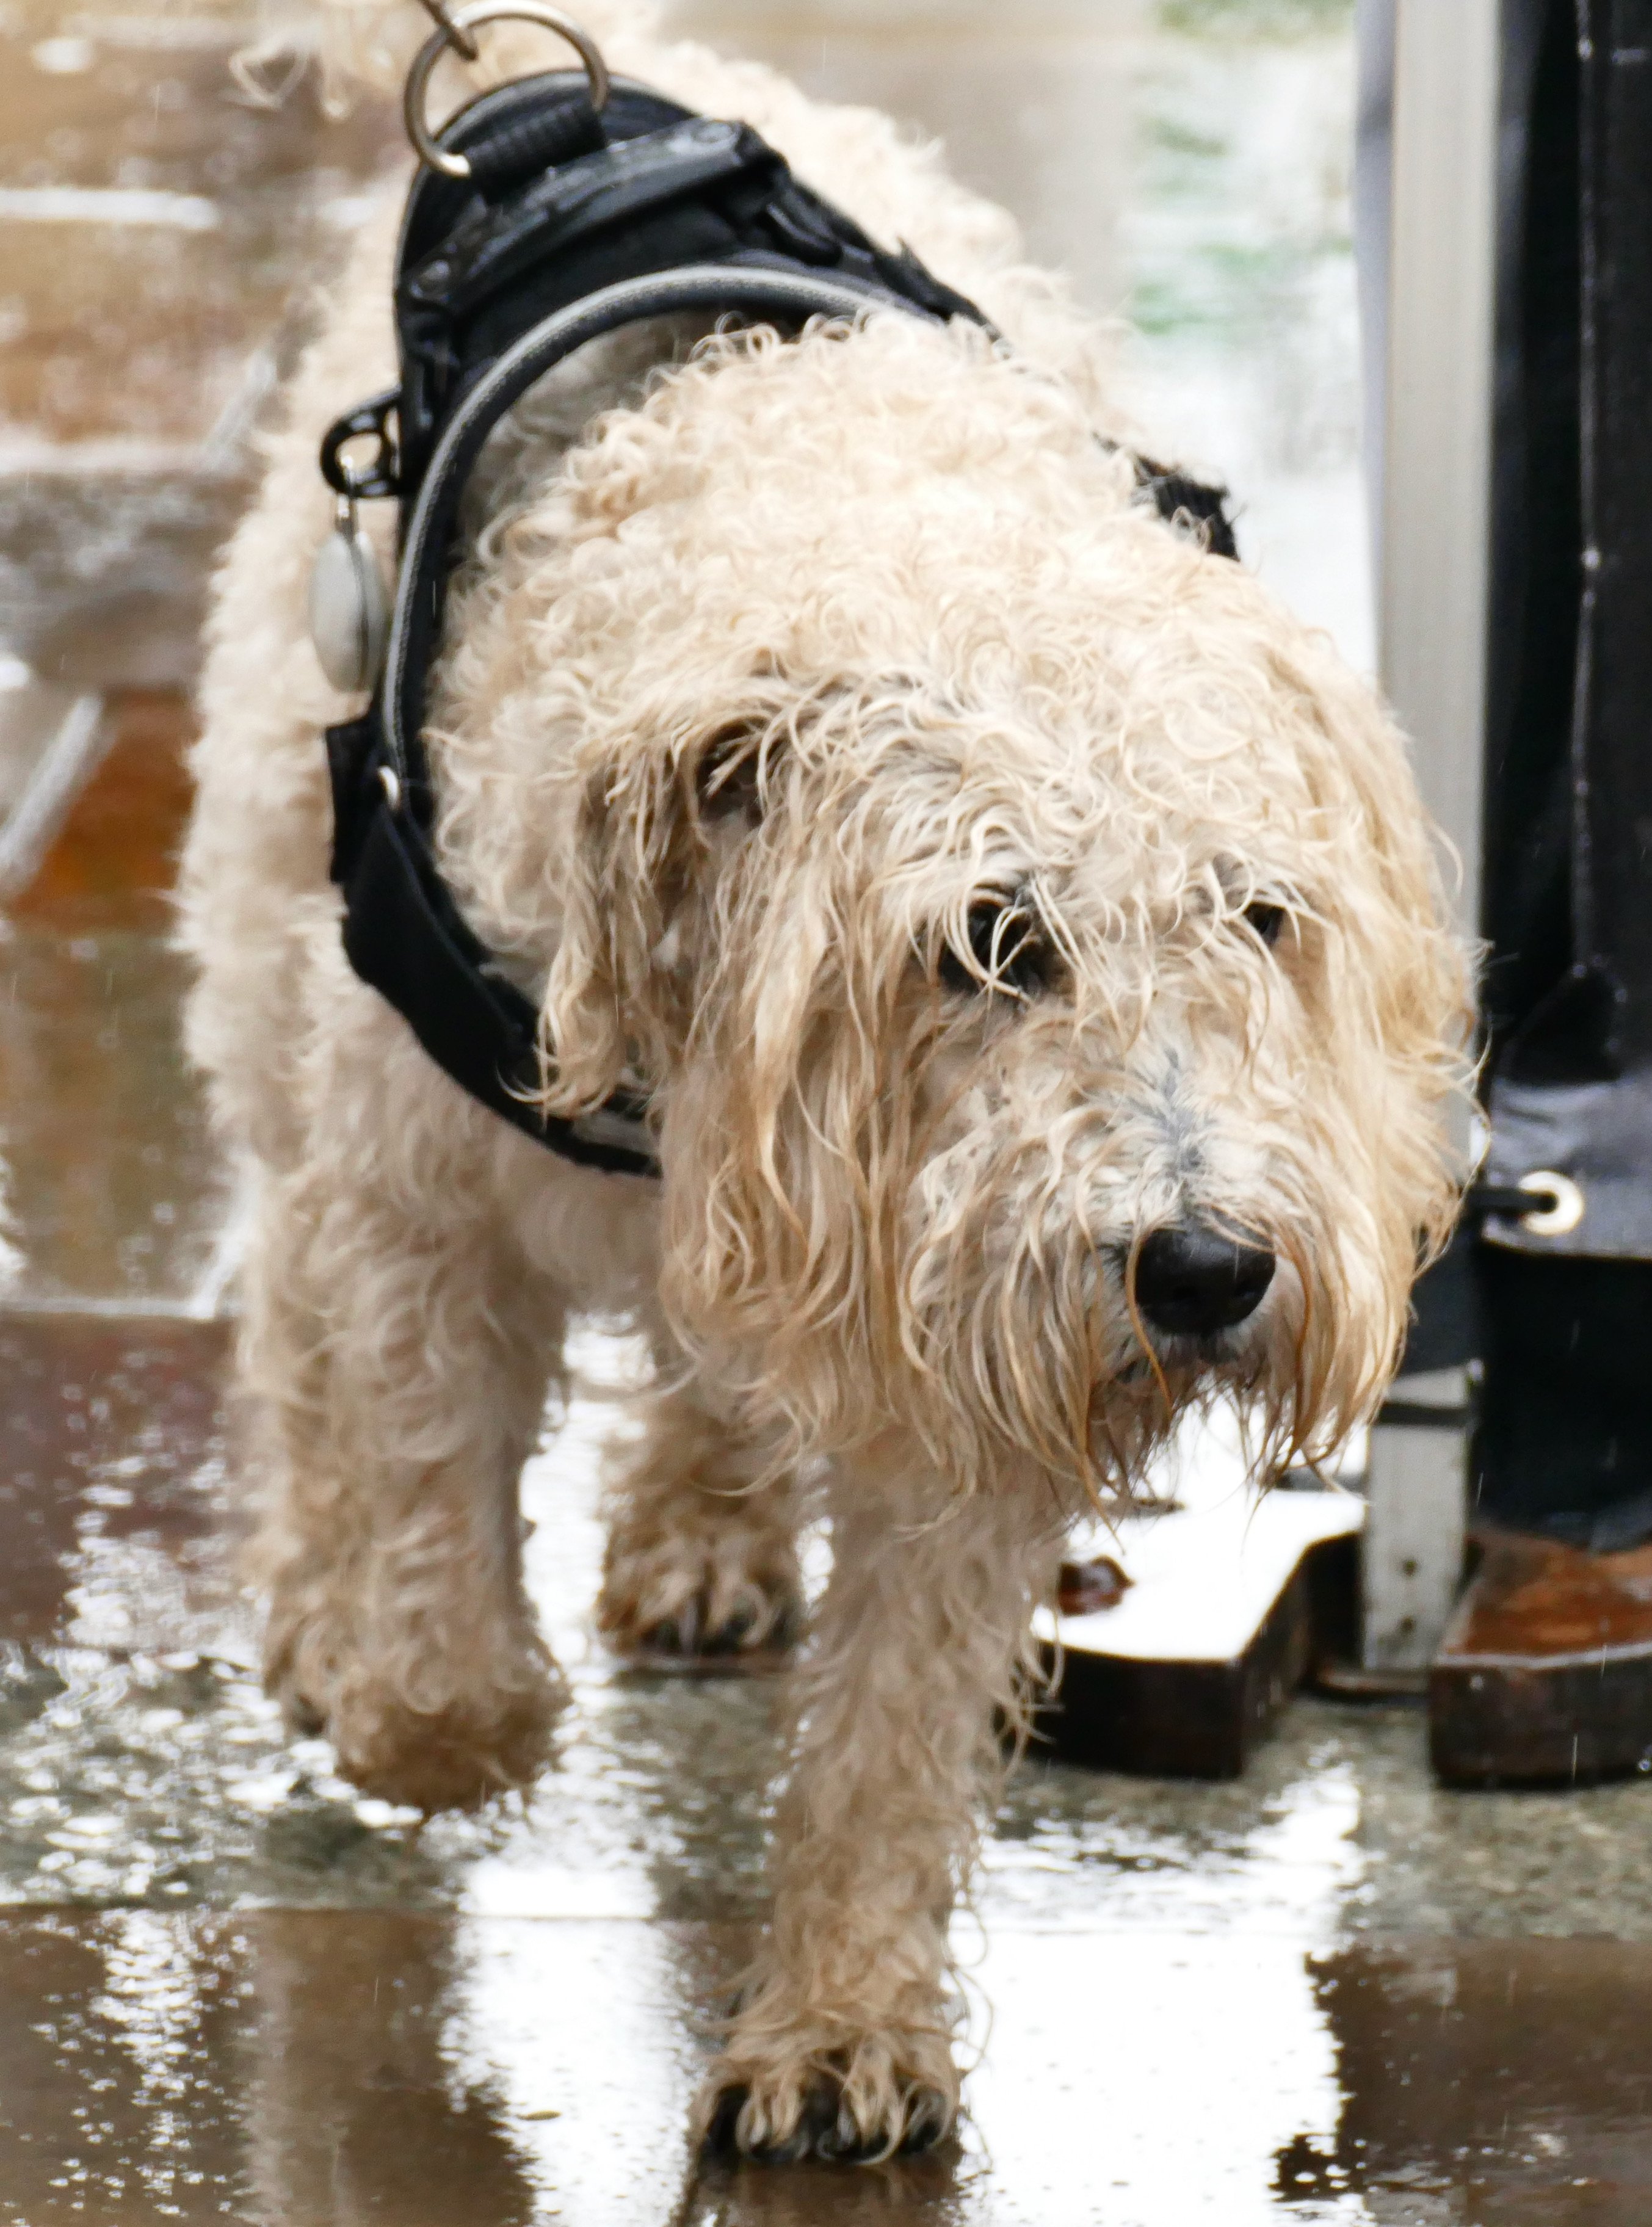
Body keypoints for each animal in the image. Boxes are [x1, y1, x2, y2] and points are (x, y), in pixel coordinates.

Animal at [184, 0, 1478, 2156]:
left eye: (1260, 917)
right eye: (989, 940)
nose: (1209, 1272)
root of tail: (550, 83)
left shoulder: (953, 1312)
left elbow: (887, 1730)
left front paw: (842, 2028)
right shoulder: (426, 1213)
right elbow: (441, 1604)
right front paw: (408, 1693)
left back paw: (702, 1528)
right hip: (279, 995)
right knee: (286, 1314)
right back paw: (309, 1593)